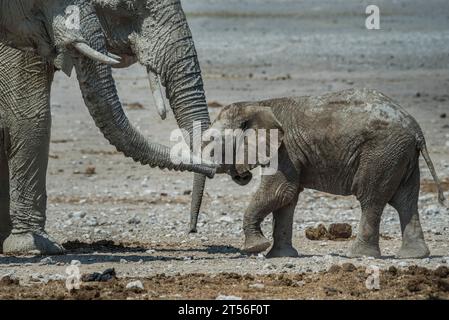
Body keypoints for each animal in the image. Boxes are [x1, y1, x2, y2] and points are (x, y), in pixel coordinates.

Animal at [209, 89, 444, 258]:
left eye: (213, 146)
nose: (241, 176)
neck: (258, 104)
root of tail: (416, 131)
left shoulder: (286, 151)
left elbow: (279, 192)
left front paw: (255, 248)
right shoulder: (290, 154)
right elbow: (287, 199)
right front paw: (281, 256)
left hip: (382, 154)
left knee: (371, 199)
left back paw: (359, 256)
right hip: (402, 156)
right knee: (406, 201)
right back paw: (414, 256)